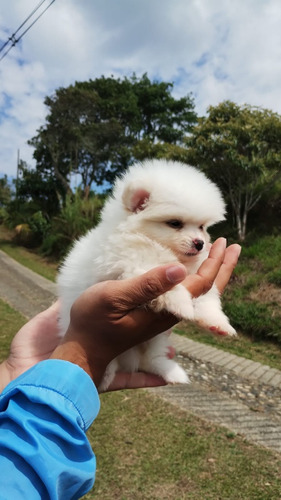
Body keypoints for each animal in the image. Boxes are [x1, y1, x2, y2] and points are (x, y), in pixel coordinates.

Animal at [58, 158, 235, 388]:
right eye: (175, 223)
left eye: (202, 227)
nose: (200, 243)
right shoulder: (130, 267)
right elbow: (166, 284)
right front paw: (183, 305)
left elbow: (207, 299)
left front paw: (217, 322)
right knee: (108, 360)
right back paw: (104, 376)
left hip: (154, 340)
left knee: (149, 359)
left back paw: (171, 372)